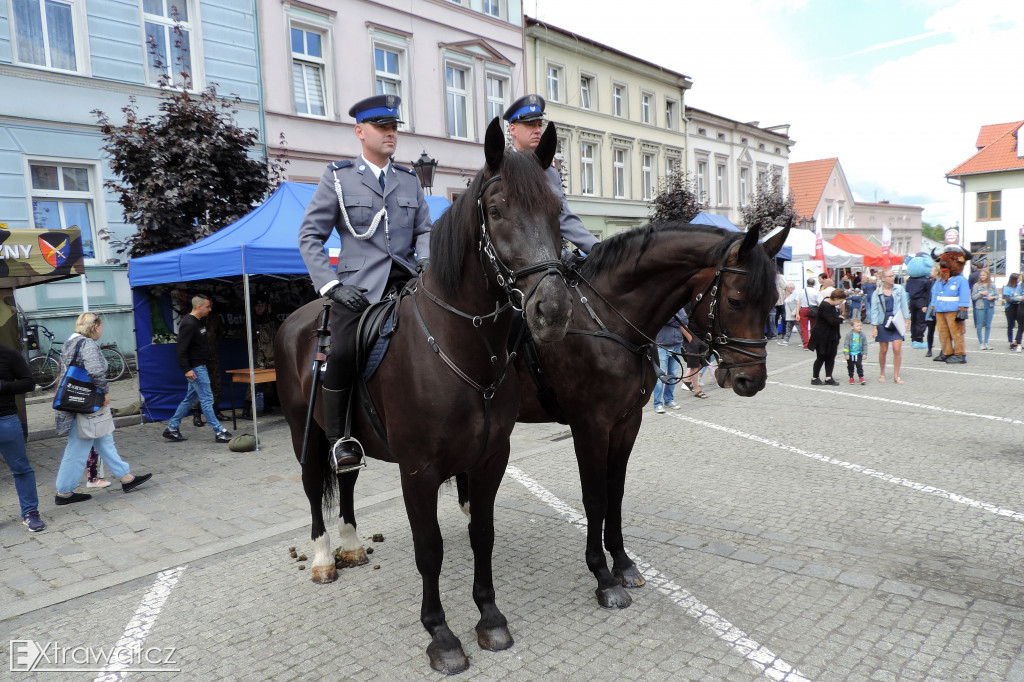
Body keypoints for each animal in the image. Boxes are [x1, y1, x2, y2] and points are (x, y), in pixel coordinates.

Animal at [276, 119, 573, 671]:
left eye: (555, 209)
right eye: (496, 210)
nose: (553, 310)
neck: (462, 348)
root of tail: (296, 320)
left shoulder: (489, 460)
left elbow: (482, 534)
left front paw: (490, 617)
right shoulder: (418, 471)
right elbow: (429, 547)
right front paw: (441, 635)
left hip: (347, 438)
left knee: (346, 482)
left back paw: (352, 545)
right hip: (304, 435)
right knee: (312, 489)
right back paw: (325, 557)